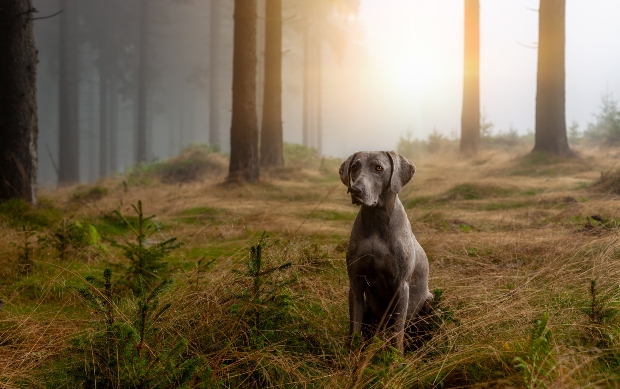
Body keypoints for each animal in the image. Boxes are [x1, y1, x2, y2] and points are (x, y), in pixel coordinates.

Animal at [340, 150, 432, 350]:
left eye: (378, 168)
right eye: (354, 167)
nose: (355, 190)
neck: (376, 221)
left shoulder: (401, 286)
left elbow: (398, 331)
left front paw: (397, 357)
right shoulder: (356, 283)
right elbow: (355, 328)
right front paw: (352, 355)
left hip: (429, 301)